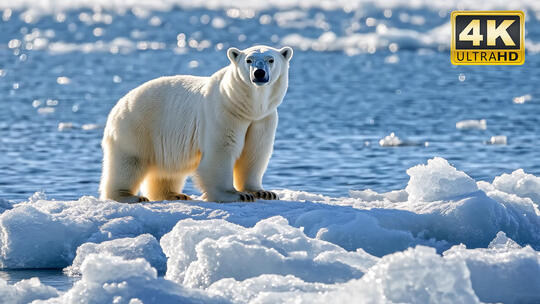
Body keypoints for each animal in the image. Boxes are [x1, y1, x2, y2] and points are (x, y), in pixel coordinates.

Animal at [100, 45, 296, 203]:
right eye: (249, 60)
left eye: (270, 59)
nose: (259, 73)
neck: (245, 106)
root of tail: (117, 105)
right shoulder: (223, 113)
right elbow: (221, 152)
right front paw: (234, 195)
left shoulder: (262, 119)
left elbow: (255, 152)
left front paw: (263, 192)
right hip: (137, 127)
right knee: (129, 162)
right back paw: (129, 196)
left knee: (167, 169)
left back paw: (174, 194)